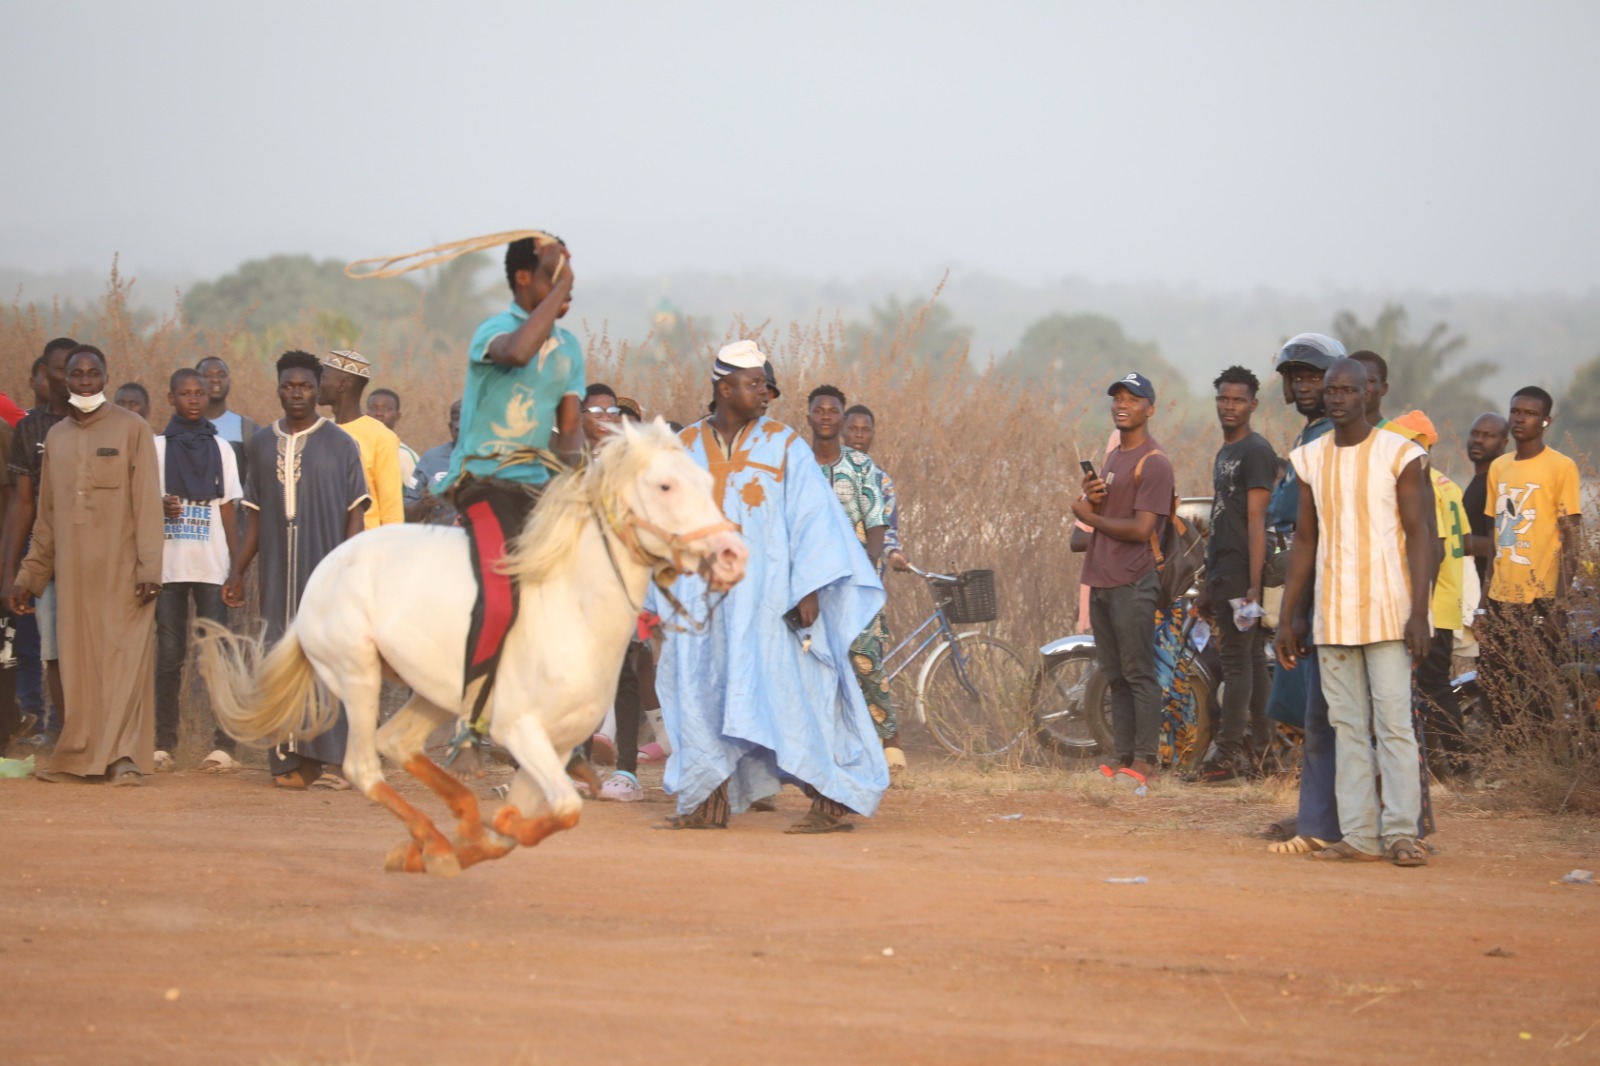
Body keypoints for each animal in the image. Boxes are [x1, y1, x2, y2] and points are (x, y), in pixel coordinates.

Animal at [197, 419, 747, 876]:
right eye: (665, 485)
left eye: (704, 483)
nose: (731, 555)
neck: (573, 611)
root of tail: (320, 577)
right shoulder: (520, 730)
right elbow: (564, 811)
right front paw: (473, 840)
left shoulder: (557, 743)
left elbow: (519, 827)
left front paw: (481, 835)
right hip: (357, 673)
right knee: (363, 766)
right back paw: (432, 844)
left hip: (432, 693)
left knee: (396, 742)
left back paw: (442, 835)